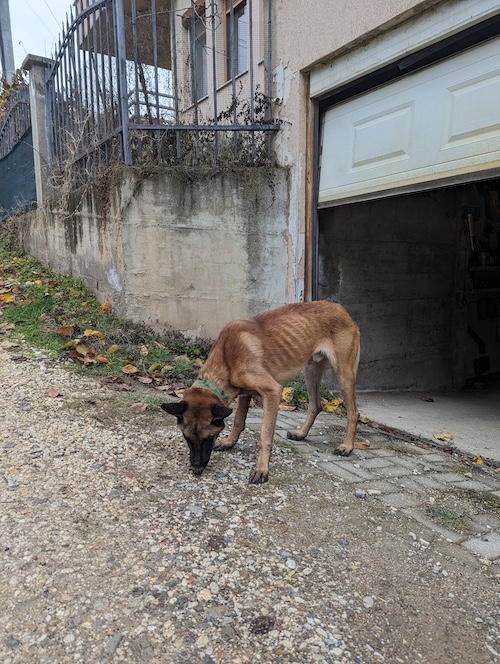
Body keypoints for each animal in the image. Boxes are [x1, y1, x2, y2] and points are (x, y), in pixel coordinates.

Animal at [162, 300, 362, 482]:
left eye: (208, 438)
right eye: (187, 438)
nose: (196, 470)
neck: (226, 358)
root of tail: (340, 308)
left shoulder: (273, 391)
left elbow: (264, 437)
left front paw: (261, 469)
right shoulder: (245, 393)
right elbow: (238, 421)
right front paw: (229, 442)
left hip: (344, 374)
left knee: (353, 412)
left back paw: (347, 446)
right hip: (310, 371)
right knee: (315, 406)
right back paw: (301, 434)